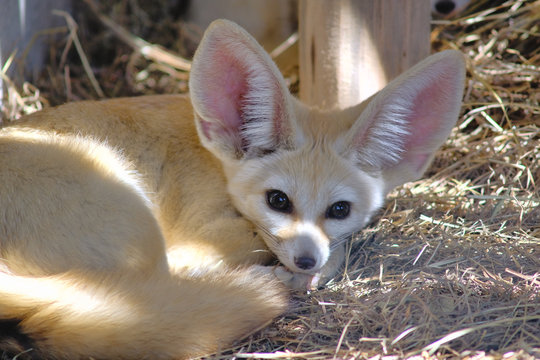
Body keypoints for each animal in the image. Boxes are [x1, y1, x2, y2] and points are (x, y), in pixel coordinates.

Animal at [0, 20, 464, 360]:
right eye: (278, 201)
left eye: (339, 210)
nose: (306, 260)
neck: (215, 163)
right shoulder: (204, 236)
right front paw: (300, 274)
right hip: (140, 229)